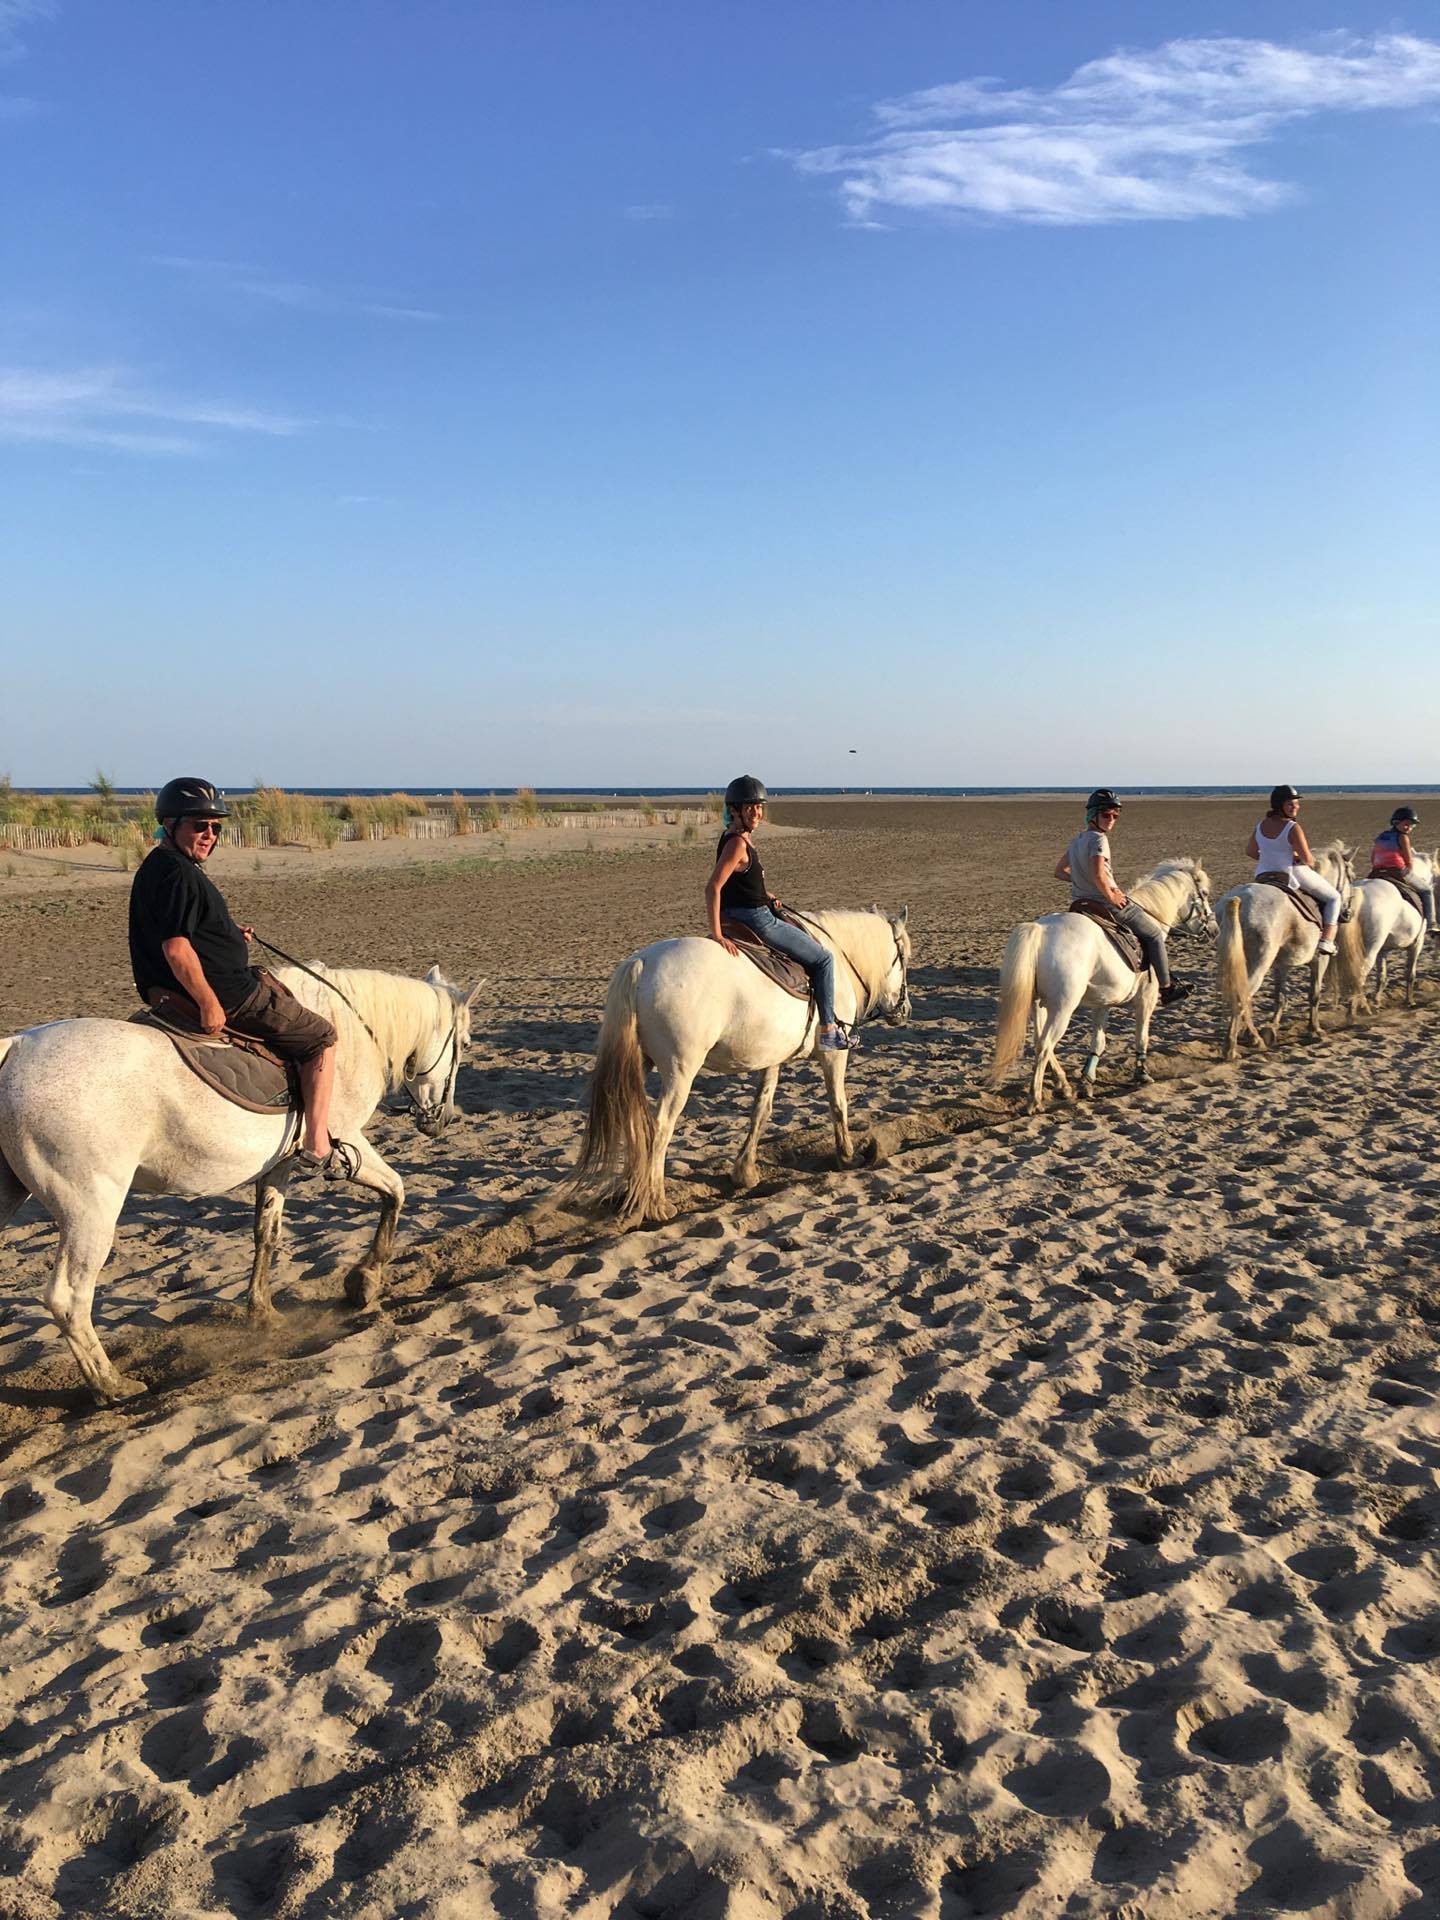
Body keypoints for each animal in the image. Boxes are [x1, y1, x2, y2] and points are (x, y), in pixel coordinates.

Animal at [0, 967, 485, 1405]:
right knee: (69, 1298)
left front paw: (262, 1312)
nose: (443, 1120)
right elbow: (396, 1191)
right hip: (92, 1209)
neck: (354, 1030)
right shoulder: (349, 1140)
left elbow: (265, 1234)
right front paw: (364, 1281)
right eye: (464, 1044)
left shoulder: (279, 1164)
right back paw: (111, 1386)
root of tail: (16, 1048)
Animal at [568, 906, 913, 1221]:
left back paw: (631, 1192)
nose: (905, 1010)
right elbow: (838, 1103)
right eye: (904, 958)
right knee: (661, 1127)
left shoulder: (773, 1058)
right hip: (681, 1071)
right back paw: (656, 1204)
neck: (837, 959)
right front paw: (847, 1157)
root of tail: (641, 964)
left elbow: (761, 1110)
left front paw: (744, 1172)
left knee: (632, 1121)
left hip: (639, 1064)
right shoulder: (834, 1054)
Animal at [990, 856, 1221, 1113]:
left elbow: (1098, 1042)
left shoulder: (1103, 1003)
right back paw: (1034, 1100)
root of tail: (1040, 930)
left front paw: (1087, 1081)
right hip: (1062, 1007)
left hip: (1038, 1004)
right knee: (1045, 1045)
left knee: (1040, 1043)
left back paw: (1063, 1086)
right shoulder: (1147, 999)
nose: (1214, 930)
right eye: (1204, 893)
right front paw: (1142, 1074)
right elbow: (1142, 1037)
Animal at [1221, 840, 1367, 1067]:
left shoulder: (1282, 965)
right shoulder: (1320, 959)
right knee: (1241, 998)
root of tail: (1241, 900)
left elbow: (1280, 997)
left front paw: (1271, 1029)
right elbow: (1314, 994)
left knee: (1243, 997)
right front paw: (1315, 1030)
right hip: (1258, 964)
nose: (1347, 914)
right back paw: (1233, 1048)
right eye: (1351, 875)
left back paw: (1253, 1038)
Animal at [1351, 848, 1436, 1013]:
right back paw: (1356, 1009)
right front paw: (1410, 1001)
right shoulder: (1417, 943)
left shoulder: (1383, 950)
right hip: (1369, 948)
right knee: (1359, 975)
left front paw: (1377, 1001)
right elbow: (1410, 974)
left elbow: (1382, 977)